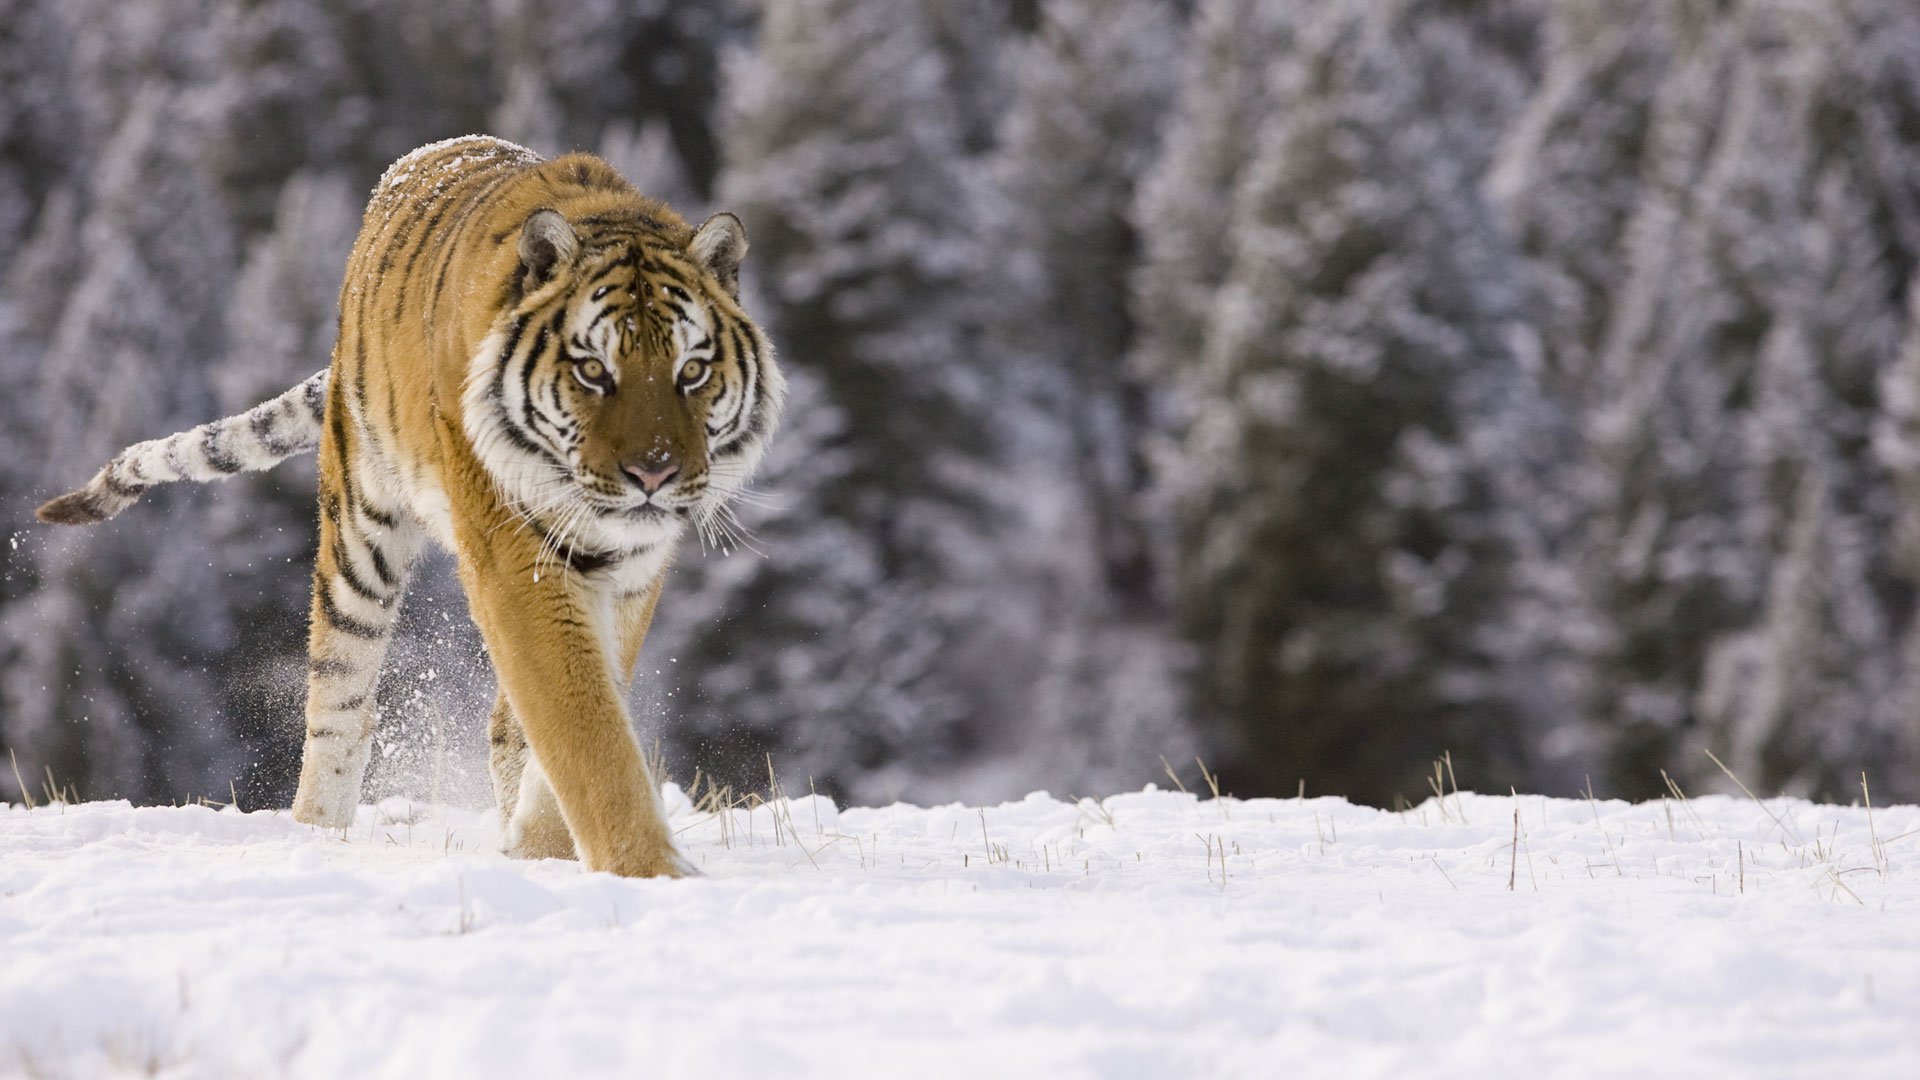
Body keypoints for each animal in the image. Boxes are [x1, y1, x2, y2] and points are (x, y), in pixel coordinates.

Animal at [33, 134, 779, 876]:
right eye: (594, 370)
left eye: (692, 371)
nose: (654, 473)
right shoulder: (517, 560)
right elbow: (586, 730)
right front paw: (650, 873)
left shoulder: (630, 575)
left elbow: (574, 723)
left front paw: (542, 850)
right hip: (360, 538)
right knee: (339, 705)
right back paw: (318, 836)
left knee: (500, 726)